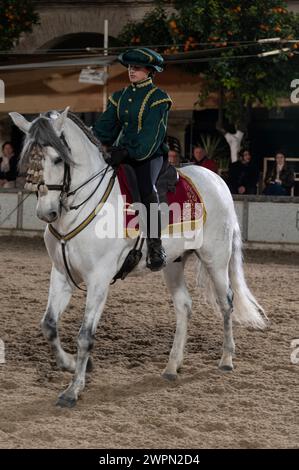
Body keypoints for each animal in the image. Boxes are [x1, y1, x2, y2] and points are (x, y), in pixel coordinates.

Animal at [9, 107, 268, 408]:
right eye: (29, 159)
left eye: (58, 159)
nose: (46, 212)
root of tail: (216, 179)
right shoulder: (61, 274)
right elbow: (49, 326)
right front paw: (71, 364)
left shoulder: (99, 279)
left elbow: (85, 335)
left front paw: (73, 390)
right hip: (173, 264)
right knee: (184, 306)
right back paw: (172, 366)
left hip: (215, 258)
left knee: (226, 303)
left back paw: (226, 359)